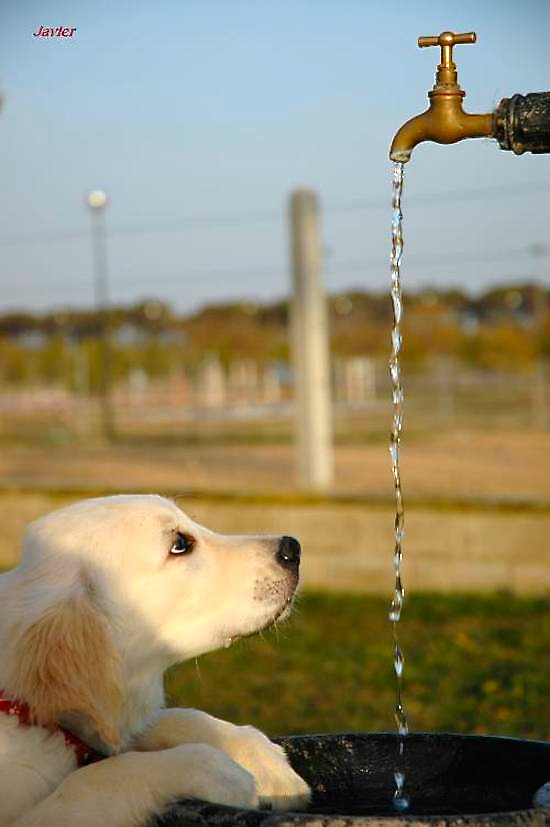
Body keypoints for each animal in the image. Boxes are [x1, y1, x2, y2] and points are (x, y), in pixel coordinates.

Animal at [0, 498, 310, 827]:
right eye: (180, 544)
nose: (293, 548)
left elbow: (168, 717)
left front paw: (262, 757)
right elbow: (92, 779)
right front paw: (217, 769)